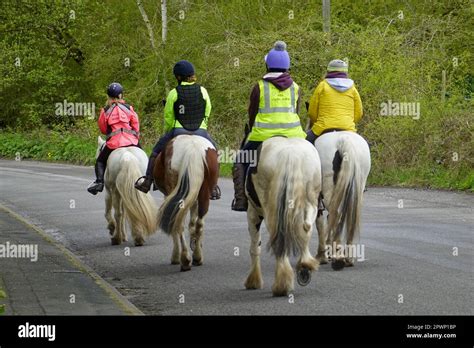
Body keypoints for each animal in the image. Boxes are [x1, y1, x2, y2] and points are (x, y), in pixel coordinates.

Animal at [154, 135, 218, 270]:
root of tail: (192, 148)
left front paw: (176, 256)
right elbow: (192, 222)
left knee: (180, 223)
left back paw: (185, 258)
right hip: (204, 192)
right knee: (198, 223)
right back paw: (196, 257)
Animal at [244, 137, 322, 296]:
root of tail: (290, 153)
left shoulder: (252, 212)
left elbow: (255, 247)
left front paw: (253, 281)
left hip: (270, 209)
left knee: (277, 235)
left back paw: (281, 283)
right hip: (311, 199)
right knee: (306, 227)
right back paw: (304, 266)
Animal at [314, 130, 370, 270]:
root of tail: (344, 140)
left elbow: (320, 223)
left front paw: (322, 256)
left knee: (336, 214)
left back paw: (338, 257)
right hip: (357, 187)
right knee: (350, 216)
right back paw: (347, 258)